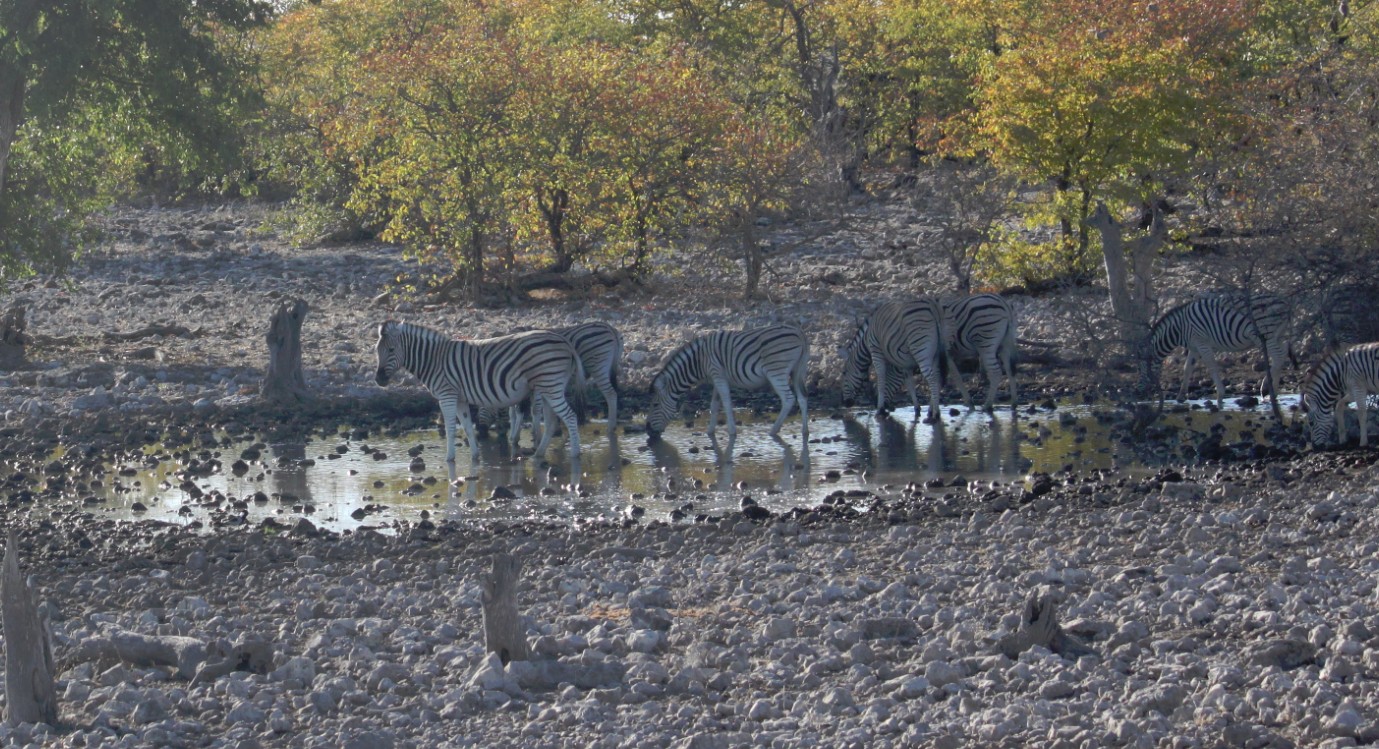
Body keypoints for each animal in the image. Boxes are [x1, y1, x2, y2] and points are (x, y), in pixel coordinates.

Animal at [372, 322, 581, 463]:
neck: (434, 360)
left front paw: (449, 458)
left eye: (391, 350)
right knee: (552, 421)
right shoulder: (460, 399)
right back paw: (539, 454)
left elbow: (450, 428)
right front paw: (474, 455)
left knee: (571, 417)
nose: (378, 380)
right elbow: (467, 426)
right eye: (376, 350)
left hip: (551, 384)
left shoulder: (447, 396)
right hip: (547, 388)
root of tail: (565, 341)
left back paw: (575, 454)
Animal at [477, 322, 623, 446]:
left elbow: (528, 410)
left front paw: (526, 436)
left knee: (610, 394)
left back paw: (610, 428)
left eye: (483, 405)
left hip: (598, 367)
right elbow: (518, 410)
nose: (480, 432)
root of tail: (610, 327)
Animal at [645, 325, 805, 441]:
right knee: (802, 398)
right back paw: (805, 431)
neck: (698, 362)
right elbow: (714, 405)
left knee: (788, 399)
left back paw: (773, 431)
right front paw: (710, 431)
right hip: (796, 372)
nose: (647, 431)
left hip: (776, 372)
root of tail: (798, 332)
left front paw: (732, 432)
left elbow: (726, 403)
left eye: (655, 405)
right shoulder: (717, 378)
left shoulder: (718, 375)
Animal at [1141, 291, 1290, 416]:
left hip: (1264, 335)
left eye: (1140, 370)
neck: (1179, 329)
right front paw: (1180, 397)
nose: (1142, 396)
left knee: (1278, 356)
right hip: (1275, 335)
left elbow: (1211, 366)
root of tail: (1284, 303)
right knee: (1283, 353)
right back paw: (1274, 392)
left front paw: (1220, 397)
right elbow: (1187, 368)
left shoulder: (1202, 343)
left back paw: (1265, 388)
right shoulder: (1194, 347)